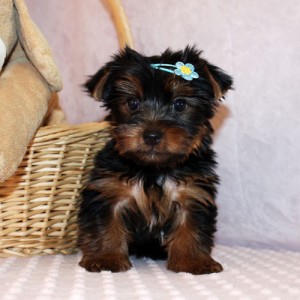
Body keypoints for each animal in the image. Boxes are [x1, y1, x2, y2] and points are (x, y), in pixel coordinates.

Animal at [77, 46, 232, 274]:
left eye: (179, 104)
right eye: (132, 103)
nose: (151, 135)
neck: (154, 169)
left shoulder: (192, 194)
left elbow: (191, 228)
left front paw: (193, 261)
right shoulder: (108, 191)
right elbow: (105, 225)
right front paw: (106, 258)